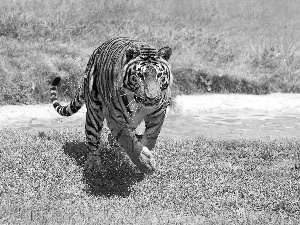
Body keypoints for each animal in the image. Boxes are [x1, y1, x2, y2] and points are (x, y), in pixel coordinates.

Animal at [50, 37, 172, 175]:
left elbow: (151, 137)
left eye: (159, 75)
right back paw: (93, 165)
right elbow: (128, 140)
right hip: (94, 113)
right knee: (93, 140)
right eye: (140, 75)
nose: (152, 98)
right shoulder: (115, 116)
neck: (141, 105)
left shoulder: (158, 114)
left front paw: (146, 154)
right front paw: (146, 164)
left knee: (112, 138)